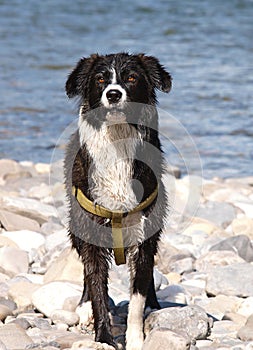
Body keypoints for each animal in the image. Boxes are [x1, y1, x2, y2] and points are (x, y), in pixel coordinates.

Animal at [64, 52, 172, 350]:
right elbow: (98, 287)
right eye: (101, 79)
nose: (113, 94)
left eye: (132, 78)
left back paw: (154, 306)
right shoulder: (90, 231)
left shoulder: (143, 235)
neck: (117, 139)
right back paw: (84, 307)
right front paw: (103, 337)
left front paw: (136, 339)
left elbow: (136, 298)